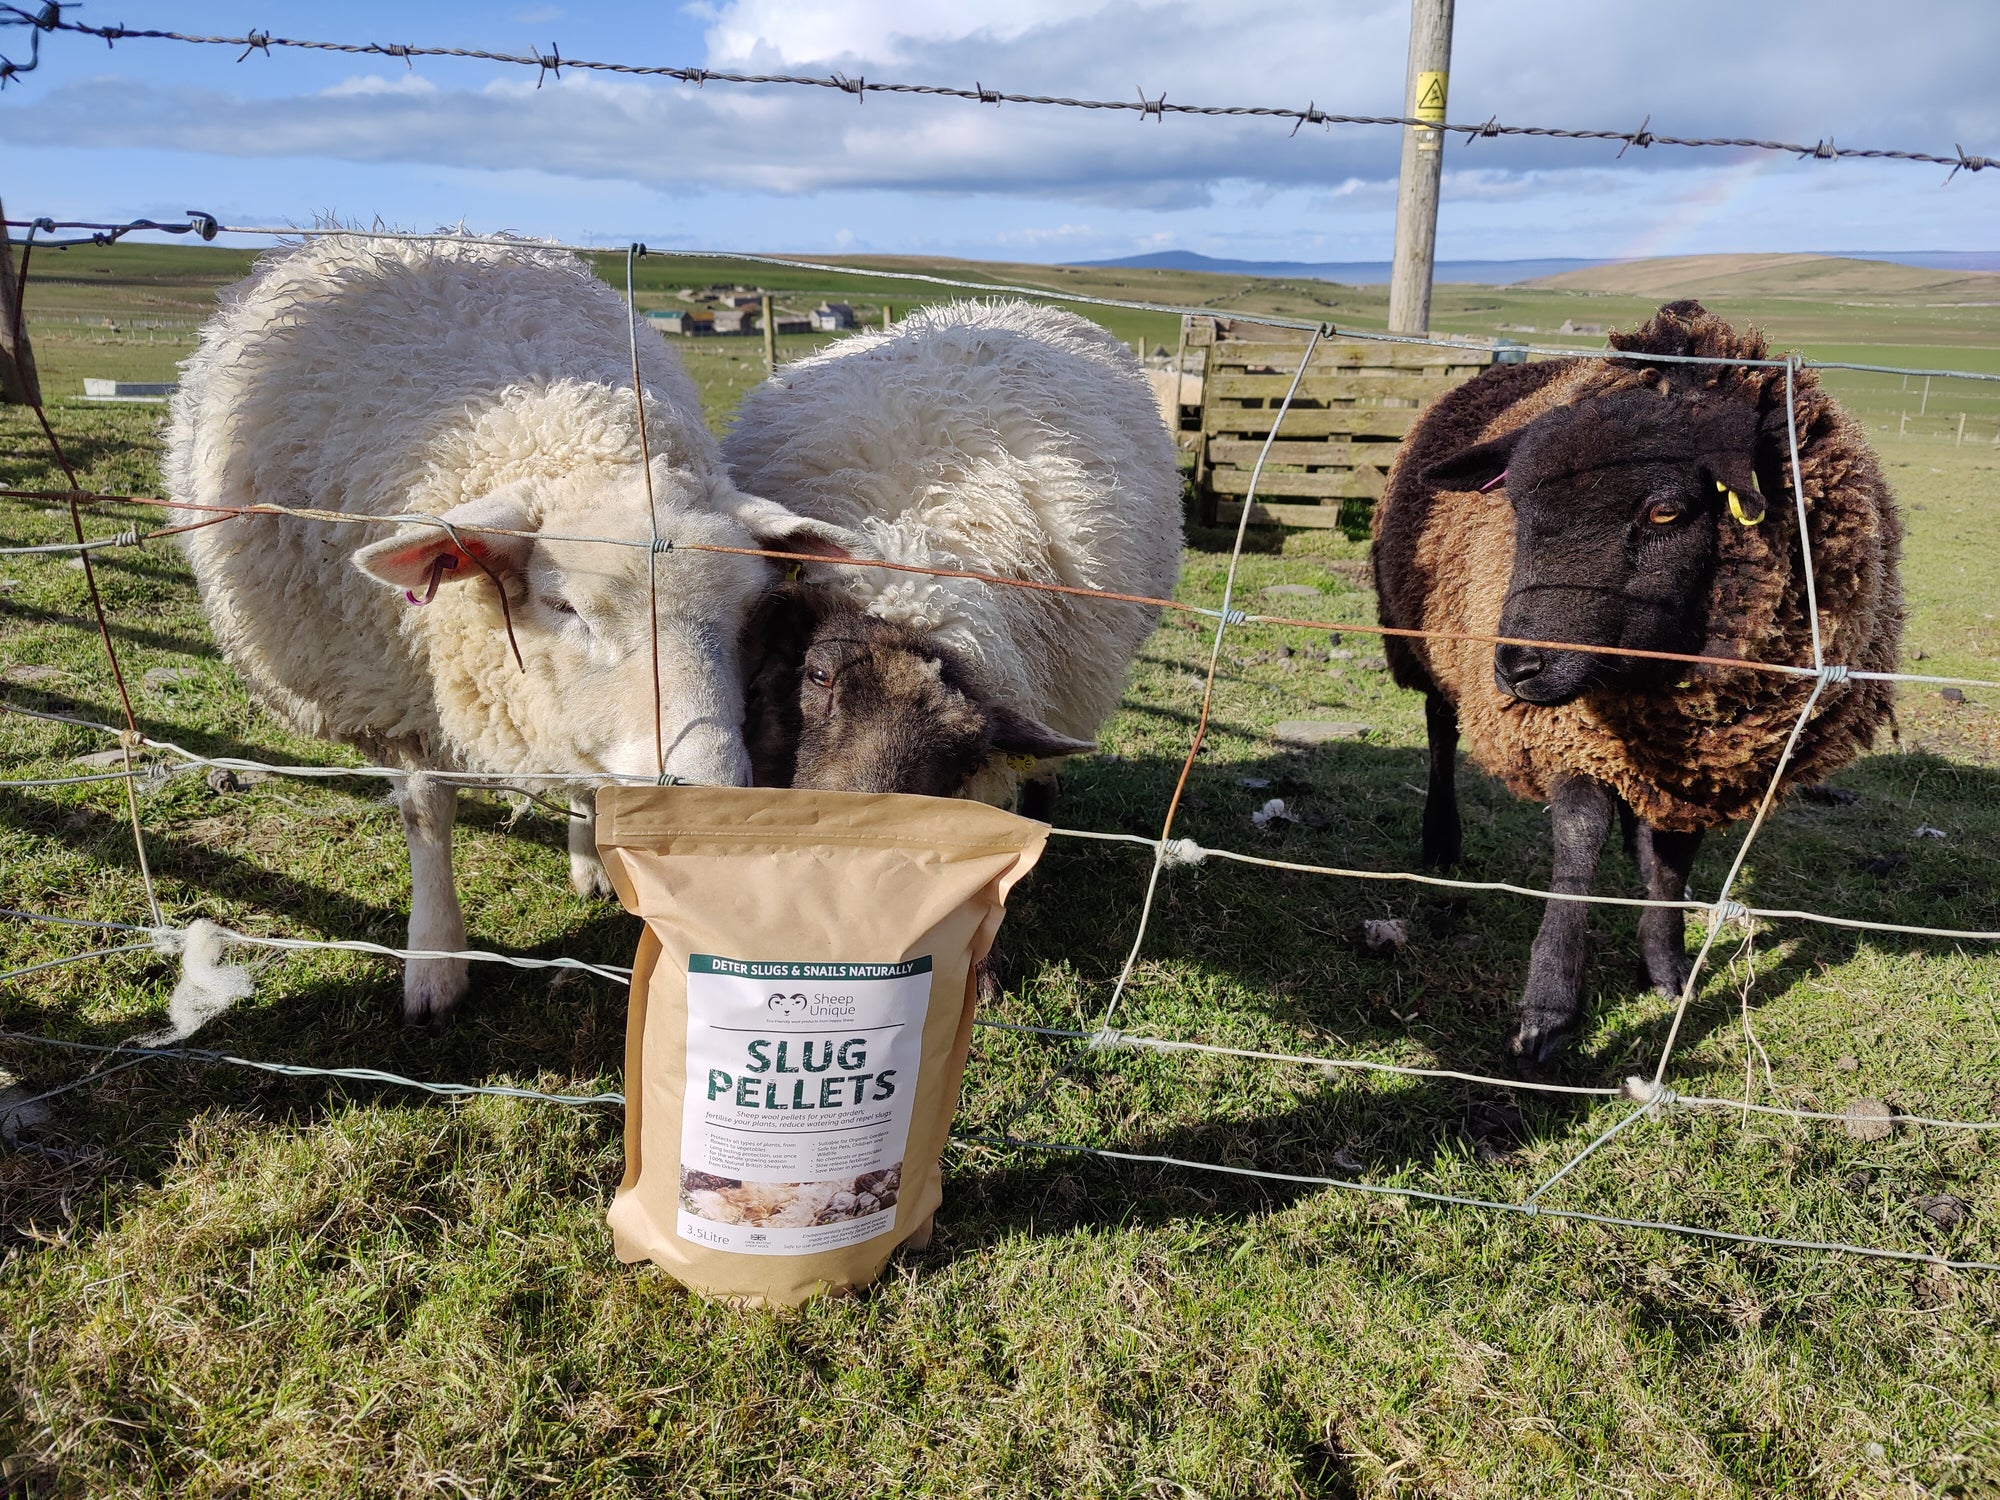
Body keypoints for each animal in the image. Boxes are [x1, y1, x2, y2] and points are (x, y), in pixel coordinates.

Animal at [165, 233, 857, 1024]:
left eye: (751, 614)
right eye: (564, 608)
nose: (709, 799)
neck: (556, 430)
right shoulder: (407, 701)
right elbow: (428, 817)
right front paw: (435, 962)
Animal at [1372, 300, 1902, 1064]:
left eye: (1665, 511)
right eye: (1517, 506)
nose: (1517, 666)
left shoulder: (1714, 757)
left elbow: (1673, 861)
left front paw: (1668, 966)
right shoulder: (1567, 728)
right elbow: (1579, 837)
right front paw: (1549, 1009)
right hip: (1423, 641)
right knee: (1441, 727)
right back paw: (1441, 839)